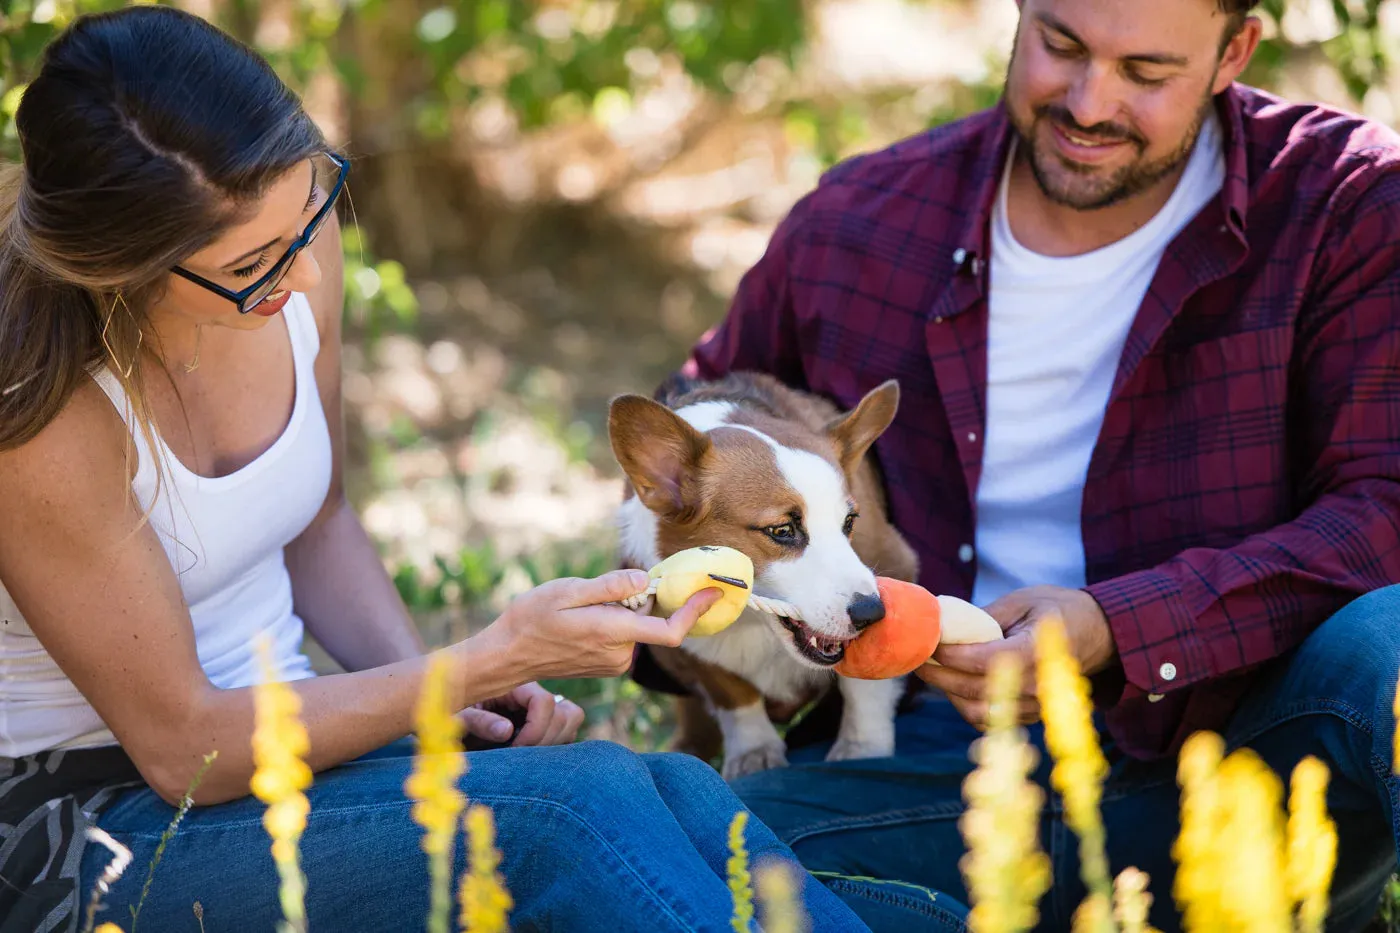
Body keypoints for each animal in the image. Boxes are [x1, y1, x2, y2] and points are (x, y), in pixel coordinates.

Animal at [604, 369, 918, 778]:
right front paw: (755, 751)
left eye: (850, 522)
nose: (872, 614)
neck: (754, 623)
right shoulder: (687, 646)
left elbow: (865, 684)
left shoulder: (896, 562)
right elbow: (733, 692)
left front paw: (862, 748)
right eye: (781, 530)